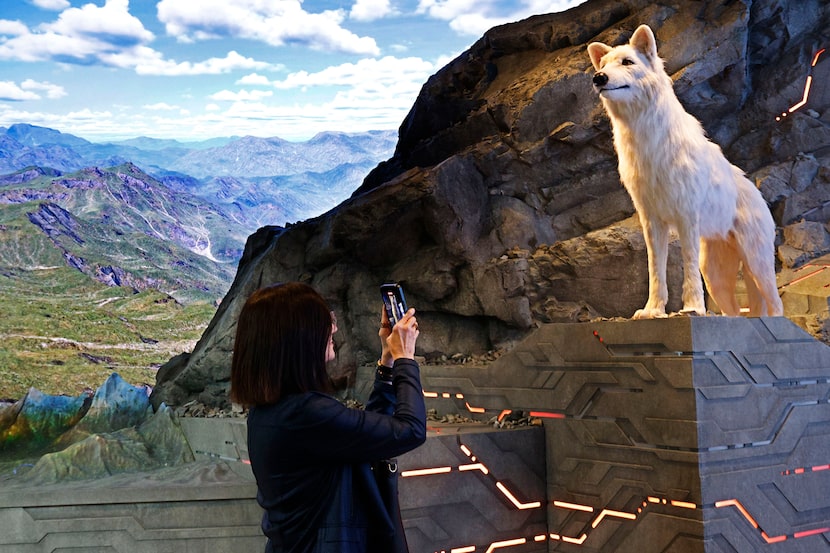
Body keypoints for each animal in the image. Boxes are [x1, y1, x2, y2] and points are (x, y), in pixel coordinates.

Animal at [587, 24, 783, 319]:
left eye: (627, 62)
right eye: (604, 65)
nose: (599, 78)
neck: (648, 142)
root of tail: (757, 193)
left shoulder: (686, 218)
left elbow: (687, 268)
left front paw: (692, 309)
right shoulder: (652, 222)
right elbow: (655, 270)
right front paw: (652, 310)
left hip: (756, 266)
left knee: (776, 305)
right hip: (717, 277)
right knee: (737, 312)